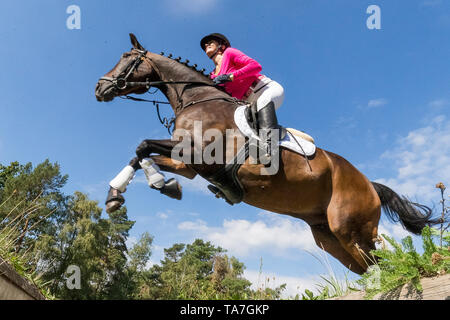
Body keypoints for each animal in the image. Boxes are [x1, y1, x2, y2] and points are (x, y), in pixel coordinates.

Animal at [94, 34, 436, 276]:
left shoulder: (203, 157)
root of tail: (369, 184)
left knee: (379, 262)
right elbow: (141, 153)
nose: (99, 88)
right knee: (368, 266)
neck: (196, 99)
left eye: (127, 59)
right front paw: (124, 194)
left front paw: (154, 186)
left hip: (349, 226)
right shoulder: (186, 162)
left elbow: (143, 146)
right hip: (328, 237)